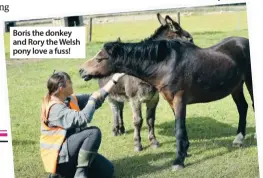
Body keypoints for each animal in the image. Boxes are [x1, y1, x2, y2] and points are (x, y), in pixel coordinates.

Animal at [79, 35, 255, 170]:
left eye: (100, 58)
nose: (81, 71)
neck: (167, 64)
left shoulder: (179, 100)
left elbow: (179, 128)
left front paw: (178, 161)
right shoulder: (171, 101)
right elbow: (180, 127)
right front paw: (184, 152)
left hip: (249, 82)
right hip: (236, 87)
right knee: (243, 107)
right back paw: (238, 139)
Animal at [96, 12, 194, 152]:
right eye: (190, 39)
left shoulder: (153, 98)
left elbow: (150, 119)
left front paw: (153, 141)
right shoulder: (135, 100)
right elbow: (138, 120)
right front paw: (137, 144)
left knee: (120, 108)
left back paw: (122, 129)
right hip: (110, 94)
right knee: (114, 109)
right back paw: (115, 130)